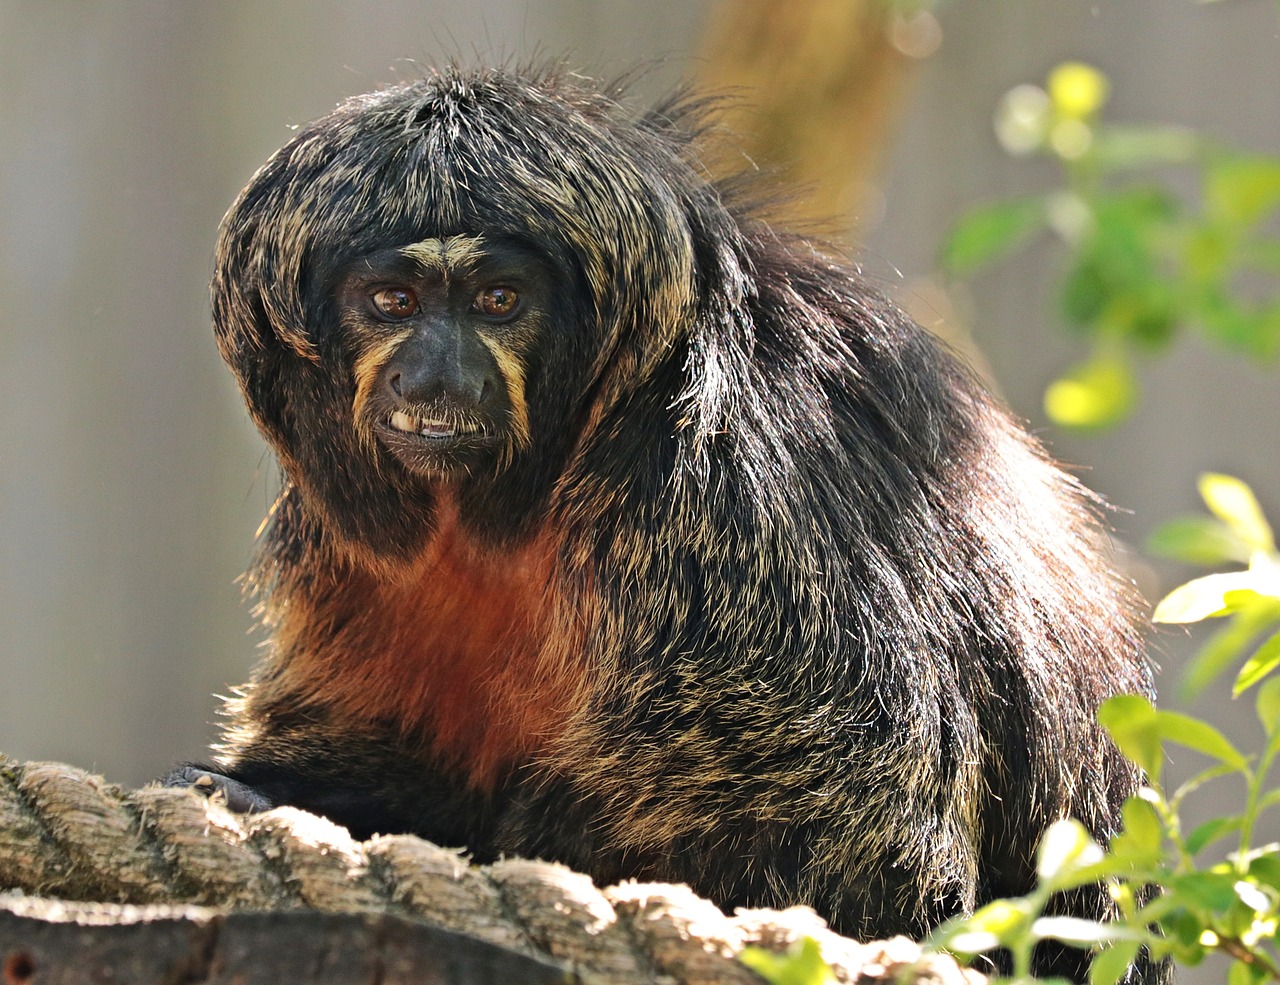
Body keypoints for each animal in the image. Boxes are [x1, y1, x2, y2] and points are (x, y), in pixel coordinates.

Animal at [167, 65, 1162, 977]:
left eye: (498, 300)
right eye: (393, 303)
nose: (436, 374)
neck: (538, 483)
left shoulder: (728, 490)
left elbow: (855, 812)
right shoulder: (343, 543)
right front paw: (265, 789)